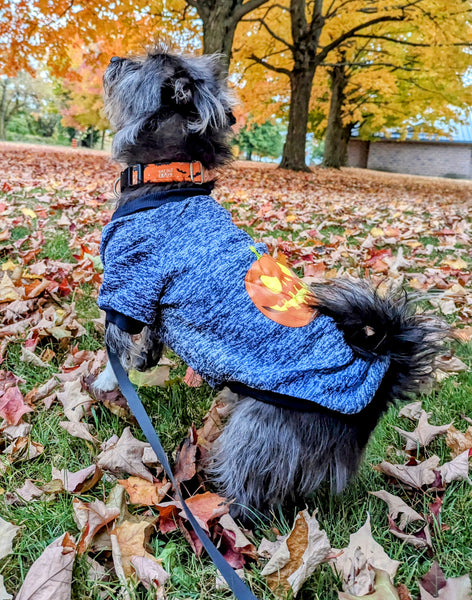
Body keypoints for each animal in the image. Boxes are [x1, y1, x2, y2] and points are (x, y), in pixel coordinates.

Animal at [94, 48, 448, 520]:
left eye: (148, 59)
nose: (116, 58)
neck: (169, 179)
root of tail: (377, 390)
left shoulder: (129, 283)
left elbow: (114, 347)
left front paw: (103, 383)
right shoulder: (149, 299)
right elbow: (147, 339)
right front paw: (145, 361)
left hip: (260, 425)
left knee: (253, 488)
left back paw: (221, 510)